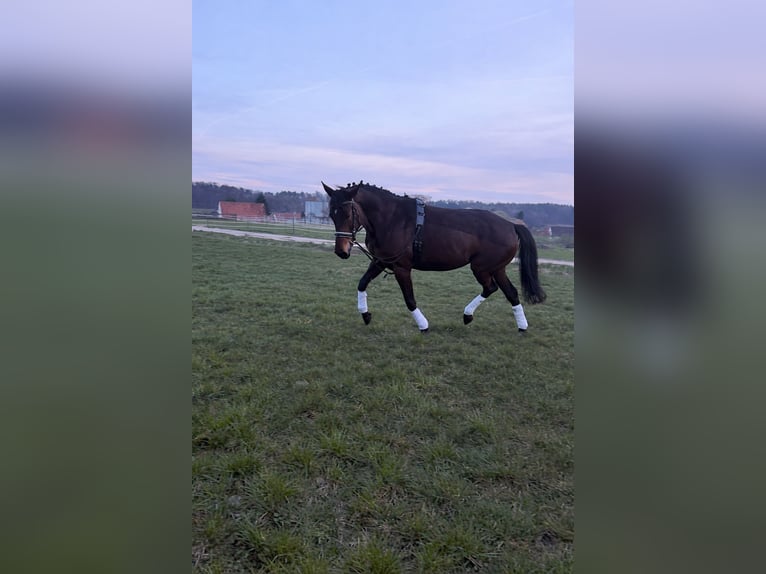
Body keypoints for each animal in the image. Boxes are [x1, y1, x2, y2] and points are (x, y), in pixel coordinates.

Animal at [322, 181, 546, 332]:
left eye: (348, 214)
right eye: (332, 214)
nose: (341, 251)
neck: (391, 219)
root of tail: (511, 225)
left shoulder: (402, 267)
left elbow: (409, 299)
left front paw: (423, 325)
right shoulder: (381, 261)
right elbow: (362, 283)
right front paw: (366, 315)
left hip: (481, 268)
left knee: (491, 288)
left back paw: (468, 315)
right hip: (497, 268)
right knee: (511, 293)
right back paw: (520, 326)